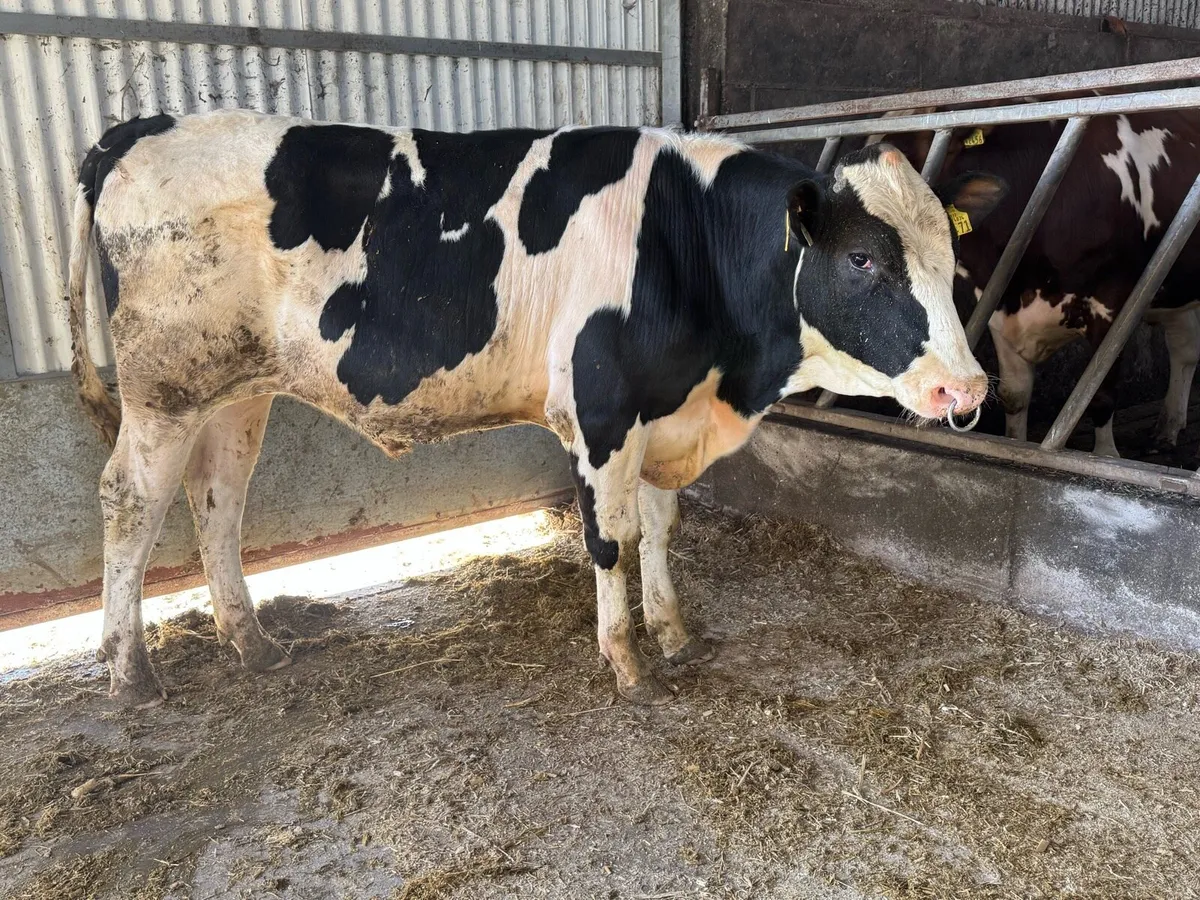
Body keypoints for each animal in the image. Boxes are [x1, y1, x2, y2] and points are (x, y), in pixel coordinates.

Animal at [68, 110, 1002, 708]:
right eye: (862, 259)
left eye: (949, 254)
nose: (967, 388)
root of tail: (138, 128)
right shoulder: (602, 411)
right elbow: (611, 539)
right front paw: (626, 661)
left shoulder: (665, 414)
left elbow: (662, 528)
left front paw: (673, 631)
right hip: (164, 388)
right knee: (131, 502)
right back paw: (130, 676)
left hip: (237, 389)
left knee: (217, 503)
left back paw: (253, 645)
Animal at [877, 109, 1200, 457]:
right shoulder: (998, 306)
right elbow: (1014, 396)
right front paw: (1014, 445)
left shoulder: (1113, 306)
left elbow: (1101, 394)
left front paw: (1105, 455)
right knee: (1184, 347)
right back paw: (1168, 428)